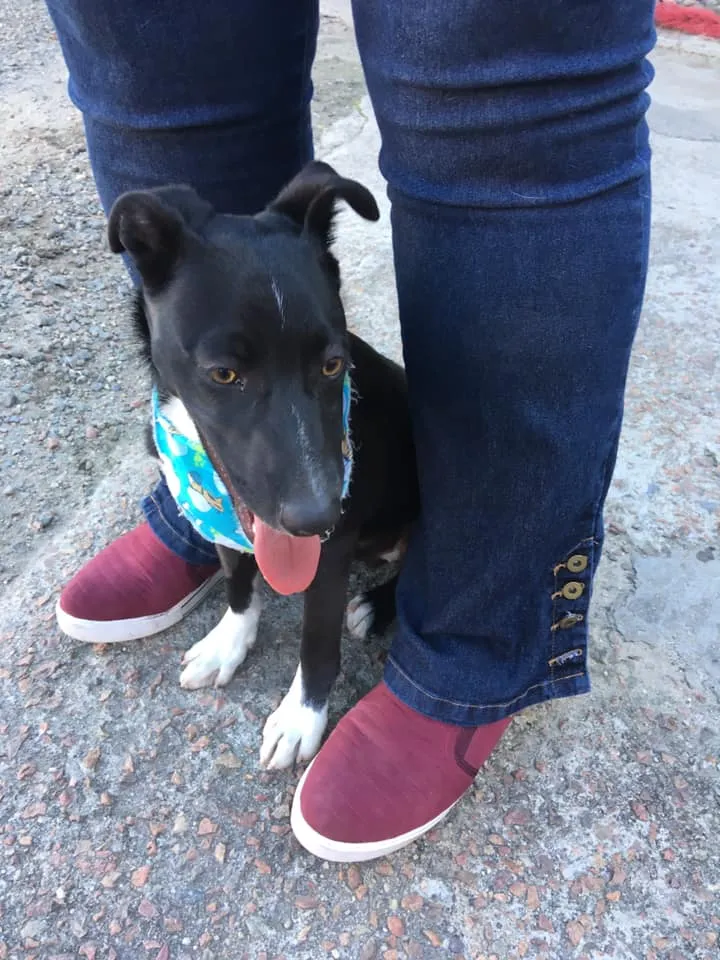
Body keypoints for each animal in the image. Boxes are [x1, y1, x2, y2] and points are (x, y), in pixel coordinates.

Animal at [108, 161, 419, 769]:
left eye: (333, 364)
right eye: (224, 374)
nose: (316, 517)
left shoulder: (330, 553)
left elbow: (316, 640)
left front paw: (302, 717)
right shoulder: (225, 510)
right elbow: (238, 582)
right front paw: (230, 642)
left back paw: (376, 605)